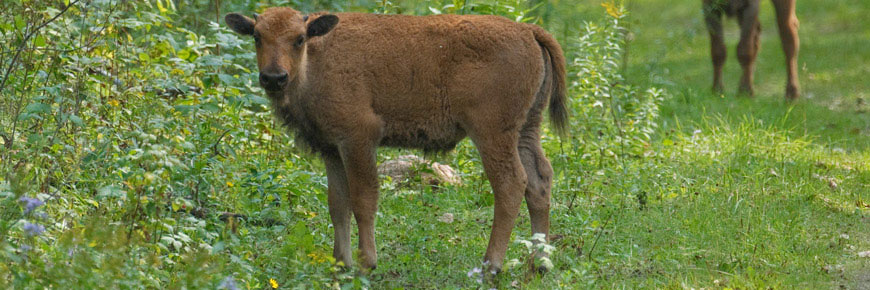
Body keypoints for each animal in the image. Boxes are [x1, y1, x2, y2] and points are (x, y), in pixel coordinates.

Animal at [225, 7, 568, 274]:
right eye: (257, 37)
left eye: (299, 39)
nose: (274, 78)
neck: (317, 57)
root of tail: (528, 30)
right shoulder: (331, 149)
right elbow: (337, 204)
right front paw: (340, 264)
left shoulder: (358, 139)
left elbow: (363, 199)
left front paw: (366, 262)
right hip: (526, 129)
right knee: (539, 182)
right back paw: (539, 264)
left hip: (492, 133)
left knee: (511, 184)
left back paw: (490, 266)